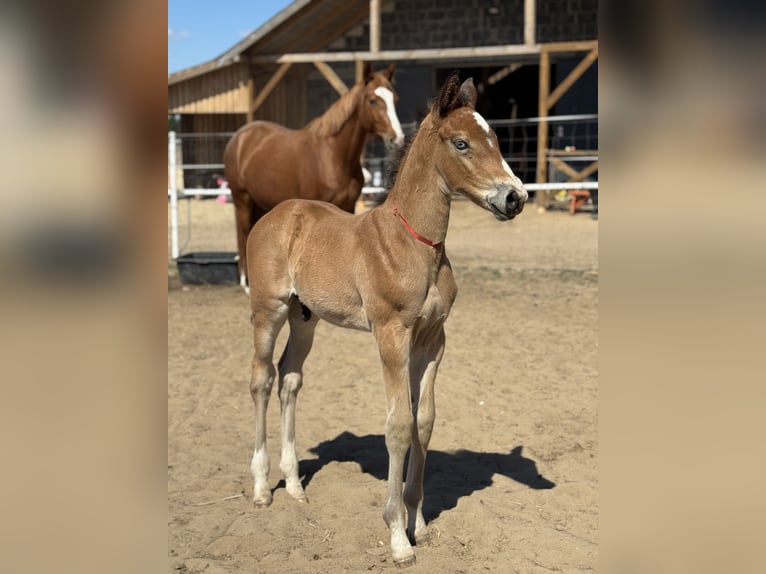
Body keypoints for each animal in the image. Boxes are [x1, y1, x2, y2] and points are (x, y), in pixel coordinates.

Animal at [223, 63, 405, 290]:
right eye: (372, 100)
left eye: (395, 99)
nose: (397, 139)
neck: (332, 156)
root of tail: (240, 137)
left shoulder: (348, 206)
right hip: (242, 198)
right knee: (244, 232)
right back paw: (245, 282)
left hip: (259, 202)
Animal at [244, 72, 527, 567]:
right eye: (461, 143)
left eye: (494, 138)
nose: (517, 197)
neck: (413, 243)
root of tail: (276, 214)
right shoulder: (391, 335)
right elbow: (397, 426)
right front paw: (397, 536)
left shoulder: (433, 340)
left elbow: (424, 420)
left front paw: (421, 524)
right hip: (269, 309)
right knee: (261, 379)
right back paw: (263, 488)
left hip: (304, 317)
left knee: (289, 378)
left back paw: (295, 485)